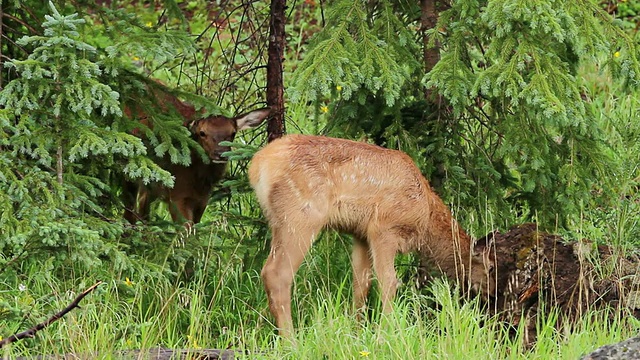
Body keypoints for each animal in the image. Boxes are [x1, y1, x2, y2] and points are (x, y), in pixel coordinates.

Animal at [249, 134, 496, 338]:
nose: (493, 295)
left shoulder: (360, 234)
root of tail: (258, 165)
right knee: (277, 273)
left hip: (279, 221)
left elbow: (361, 283)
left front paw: (357, 332)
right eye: (491, 267)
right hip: (302, 215)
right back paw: (291, 341)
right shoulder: (384, 228)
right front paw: (385, 333)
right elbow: (389, 281)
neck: (425, 219)